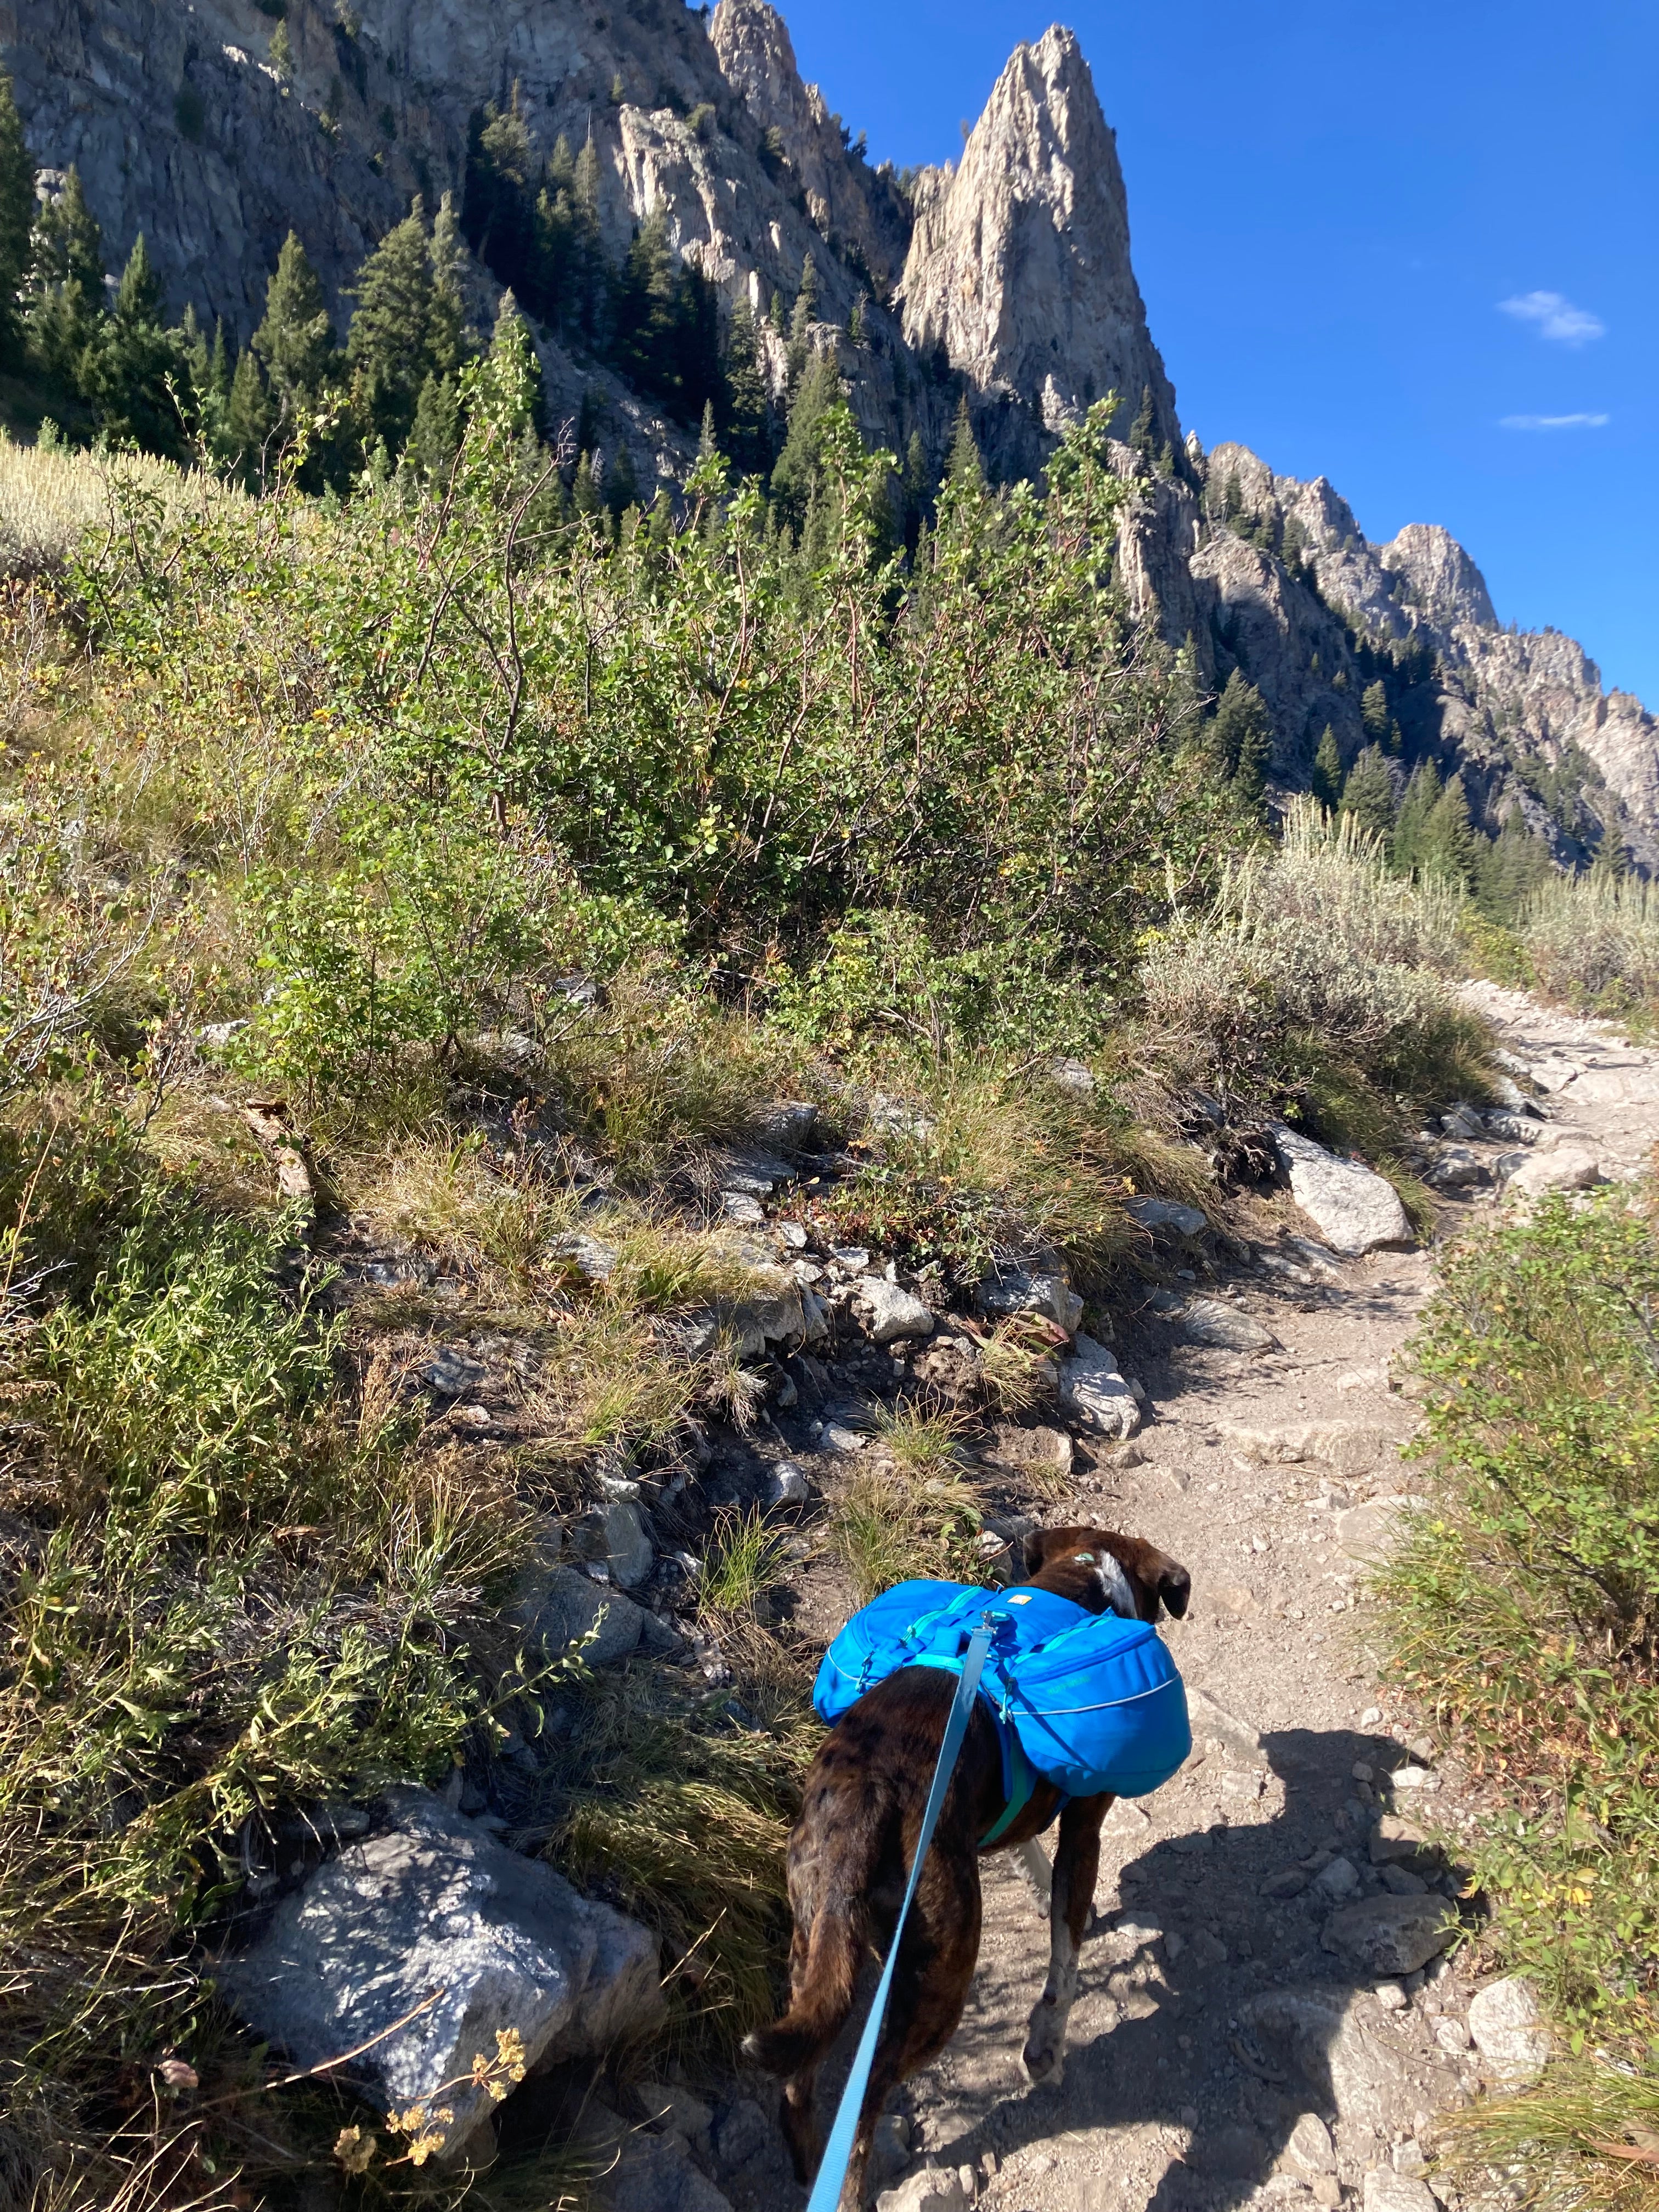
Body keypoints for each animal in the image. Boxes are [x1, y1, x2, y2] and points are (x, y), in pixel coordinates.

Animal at [747, 1531, 1186, 2203]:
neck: (1079, 1584)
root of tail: (870, 1791)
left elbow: (1031, 1855)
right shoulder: (1085, 1829)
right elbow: (1065, 1955)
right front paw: (1045, 2047)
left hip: (814, 1937)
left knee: (800, 2080)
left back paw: (809, 2166)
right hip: (941, 1980)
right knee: (868, 2098)